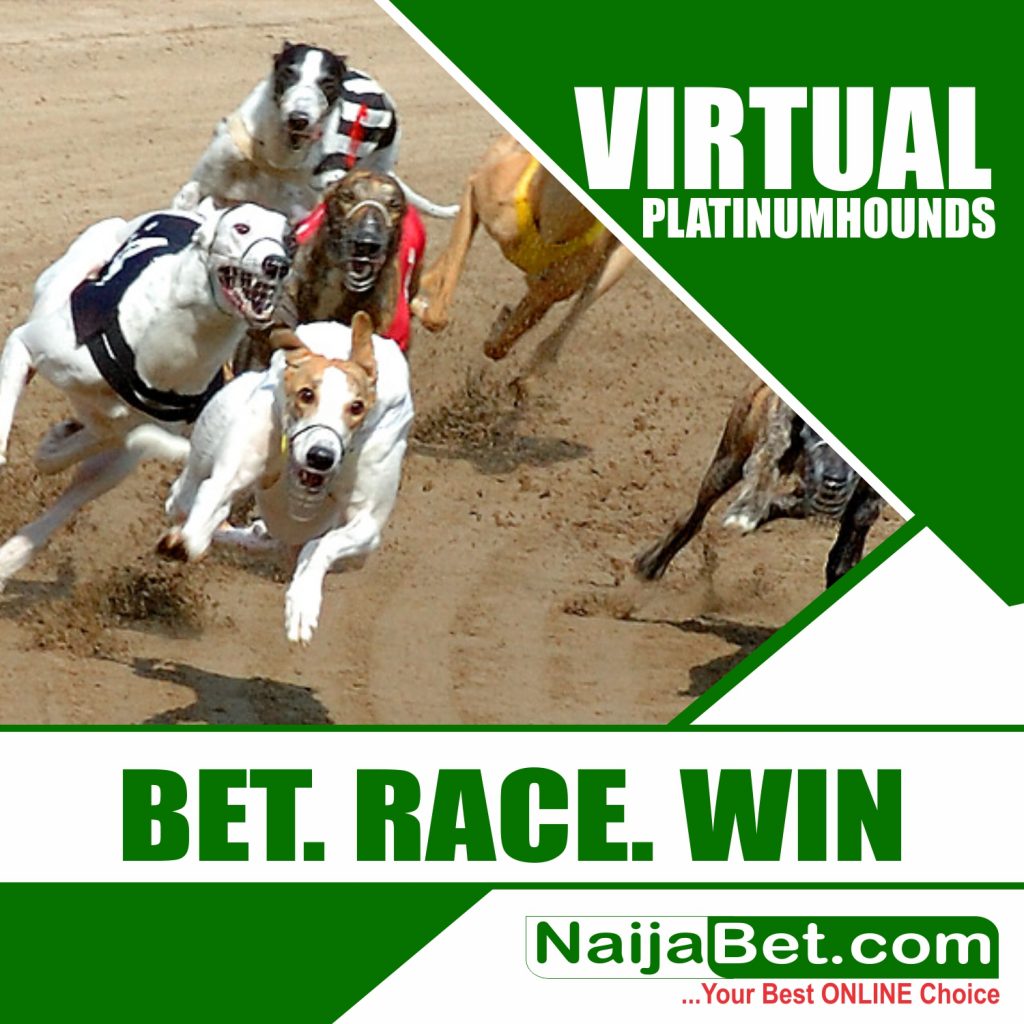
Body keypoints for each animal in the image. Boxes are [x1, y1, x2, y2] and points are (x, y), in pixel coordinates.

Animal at [0, 200, 293, 589]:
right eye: (242, 227)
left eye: (289, 239)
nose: (277, 263)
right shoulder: (24, 344)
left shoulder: (128, 437)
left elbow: (83, 444)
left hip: (114, 465)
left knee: (74, 485)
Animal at [158, 312, 413, 645]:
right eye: (307, 394)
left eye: (356, 406)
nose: (321, 456)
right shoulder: (232, 469)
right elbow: (213, 495)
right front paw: (190, 539)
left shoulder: (368, 525)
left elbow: (322, 546)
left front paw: (303, 602)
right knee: (184, 497)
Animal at [633, 382, 882, 588]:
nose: (834, 482)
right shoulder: (770, 443)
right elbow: (763, 471)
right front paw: (743, 514)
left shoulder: (865, 501)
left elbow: (847, 545)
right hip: (727, 462)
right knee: (695, 516)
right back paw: (652, 564)